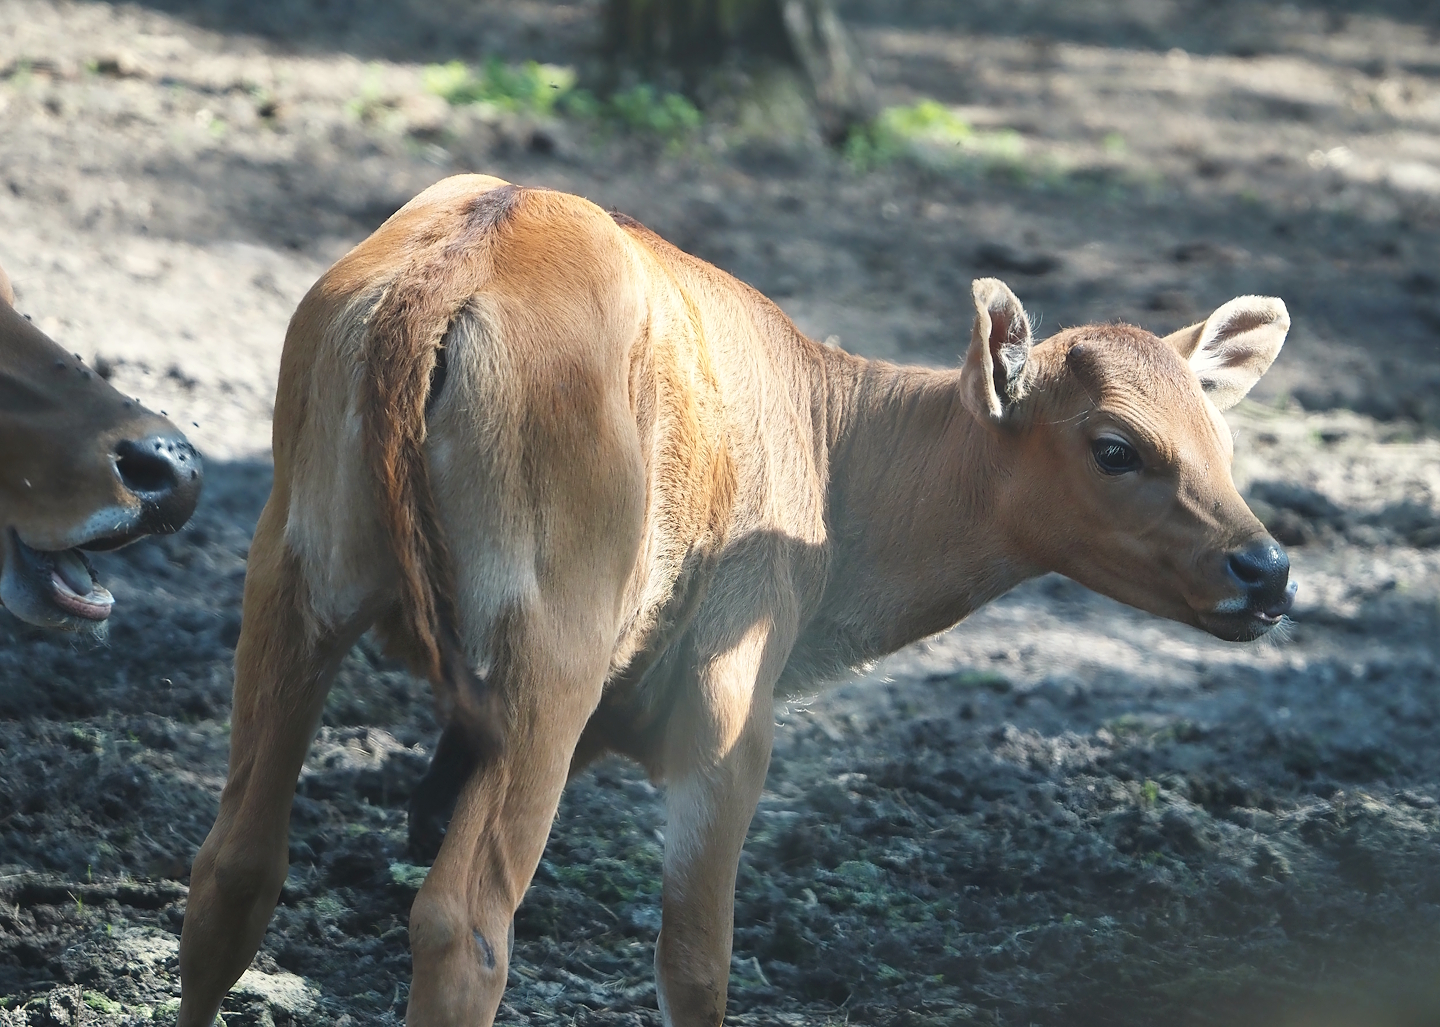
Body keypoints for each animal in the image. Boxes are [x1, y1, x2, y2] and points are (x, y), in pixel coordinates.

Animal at [176, 175, 1293, 1027]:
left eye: (1220, 437)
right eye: (1115, 447)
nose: (1268, 569)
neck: (836, 463)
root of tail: (457, 263)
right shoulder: (727, 725)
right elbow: (697, 965)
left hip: (293, 582)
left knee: (233, 868)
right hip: (546, 657)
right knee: (465, 925)